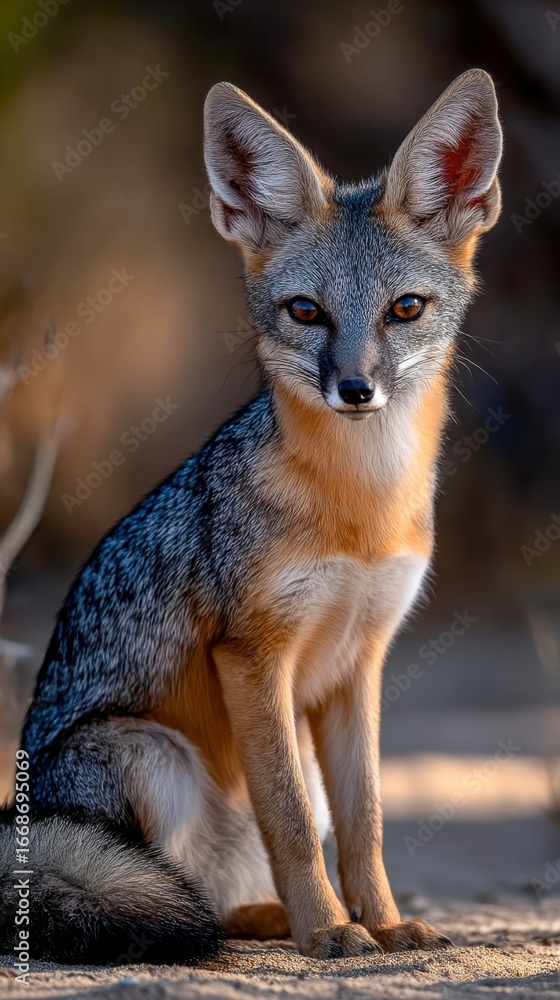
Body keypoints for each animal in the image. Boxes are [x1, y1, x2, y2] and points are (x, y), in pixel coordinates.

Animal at [0, 69, 502, 964]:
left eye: (405, 309)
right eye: (306, 312)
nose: (356, 390)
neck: (359, 512)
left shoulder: (358, 665)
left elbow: (366, 821)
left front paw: (381, 922)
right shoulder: (252, 656)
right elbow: (295, 824)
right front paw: (332, 931)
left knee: (219, 887)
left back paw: (274, 918)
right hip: (151, 754)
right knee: (173, 895)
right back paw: (266, 924)